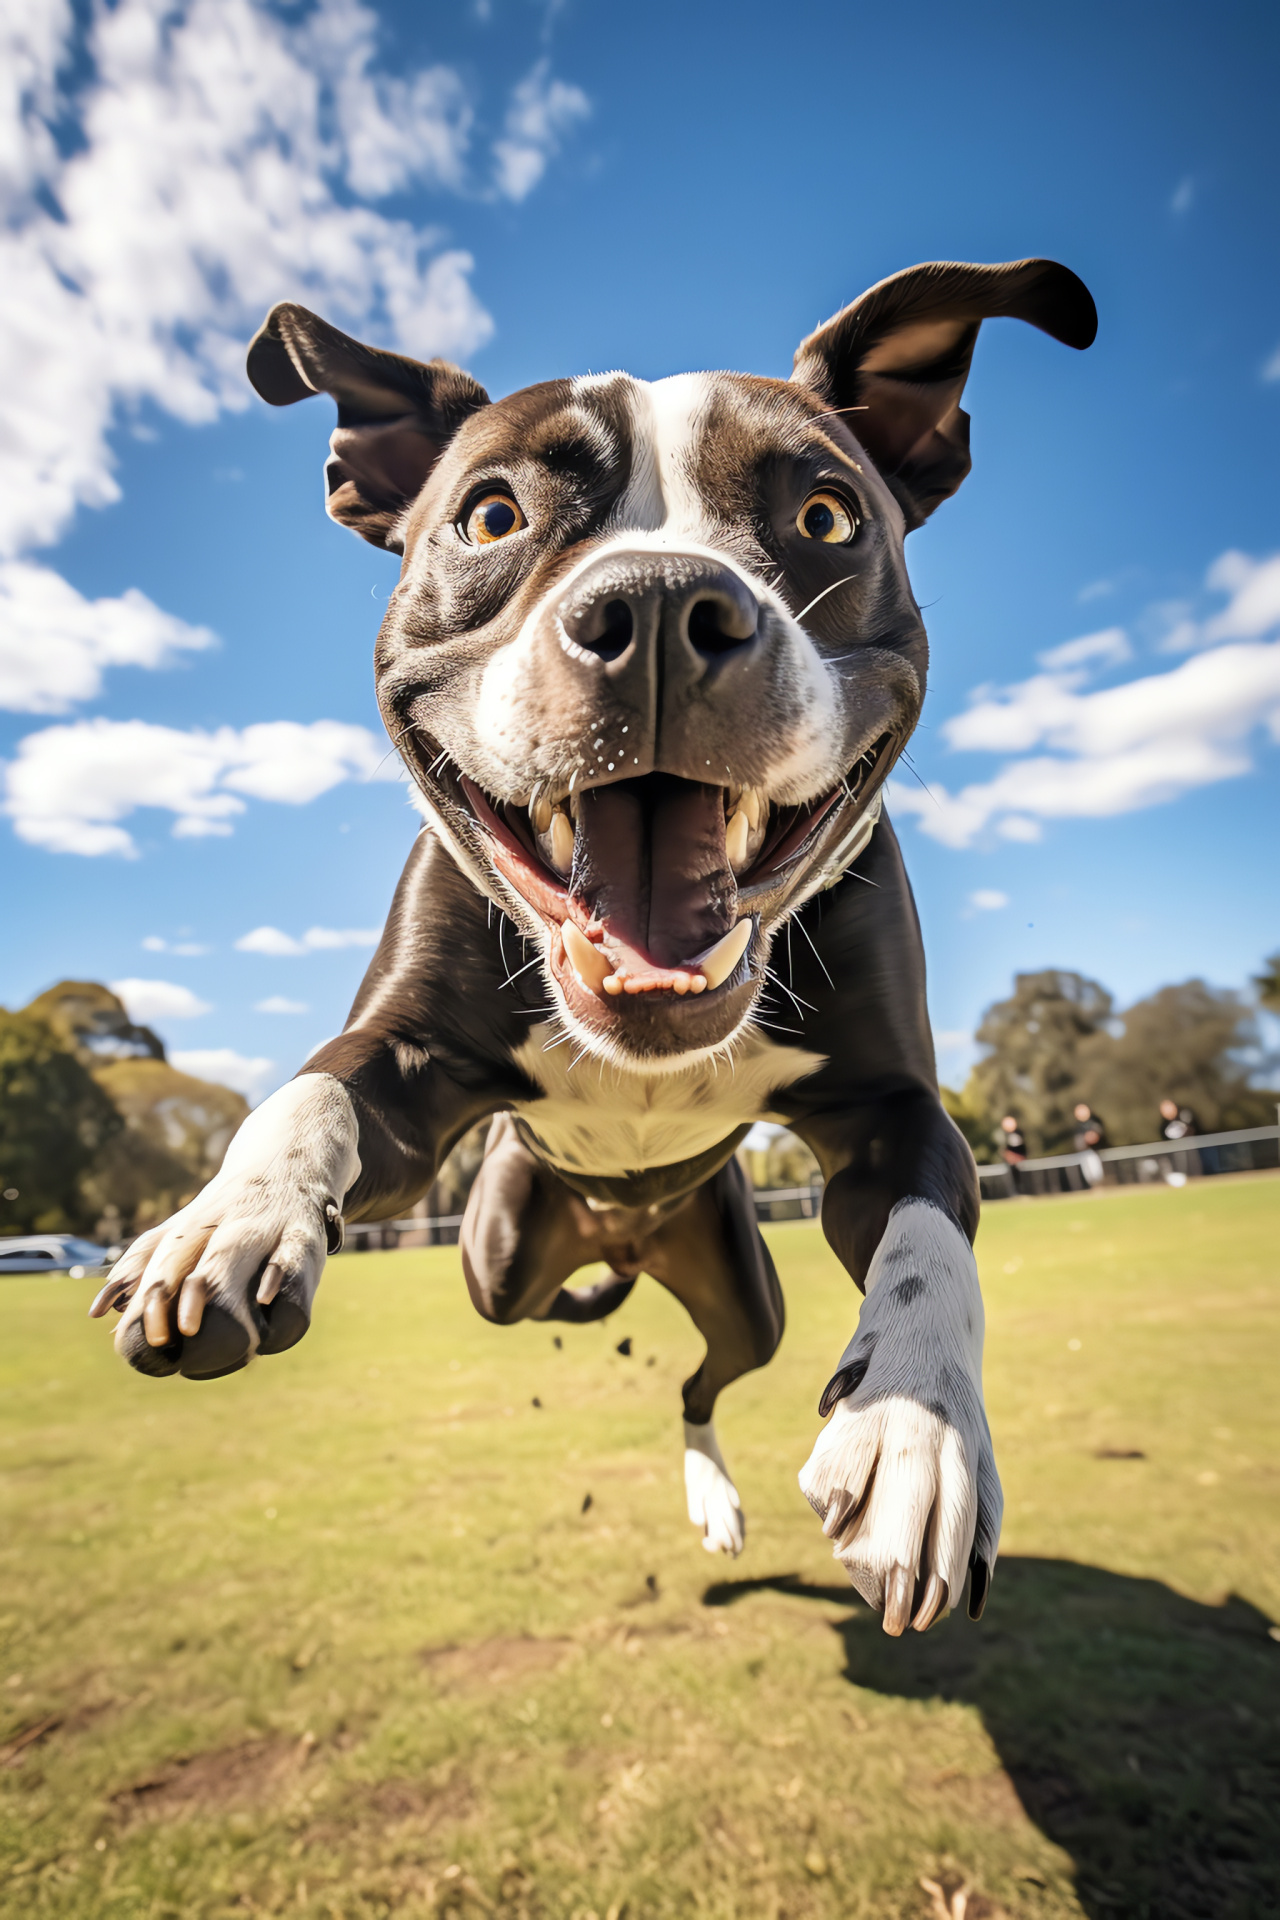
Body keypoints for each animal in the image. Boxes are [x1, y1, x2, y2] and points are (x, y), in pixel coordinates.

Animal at [90, 255, 1097, 1635]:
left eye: (827, 515)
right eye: (491, 517)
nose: (662, 604)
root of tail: (624, 1236)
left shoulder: (891, 1113)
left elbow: (928, 1230)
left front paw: (915, 1425)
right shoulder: (404, 1074)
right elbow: (307, 1099)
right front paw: (225, 1224)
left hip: (740, 1283)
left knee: (702, 1380)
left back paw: (715, 1493)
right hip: (499, 1254)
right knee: (554, 1307)